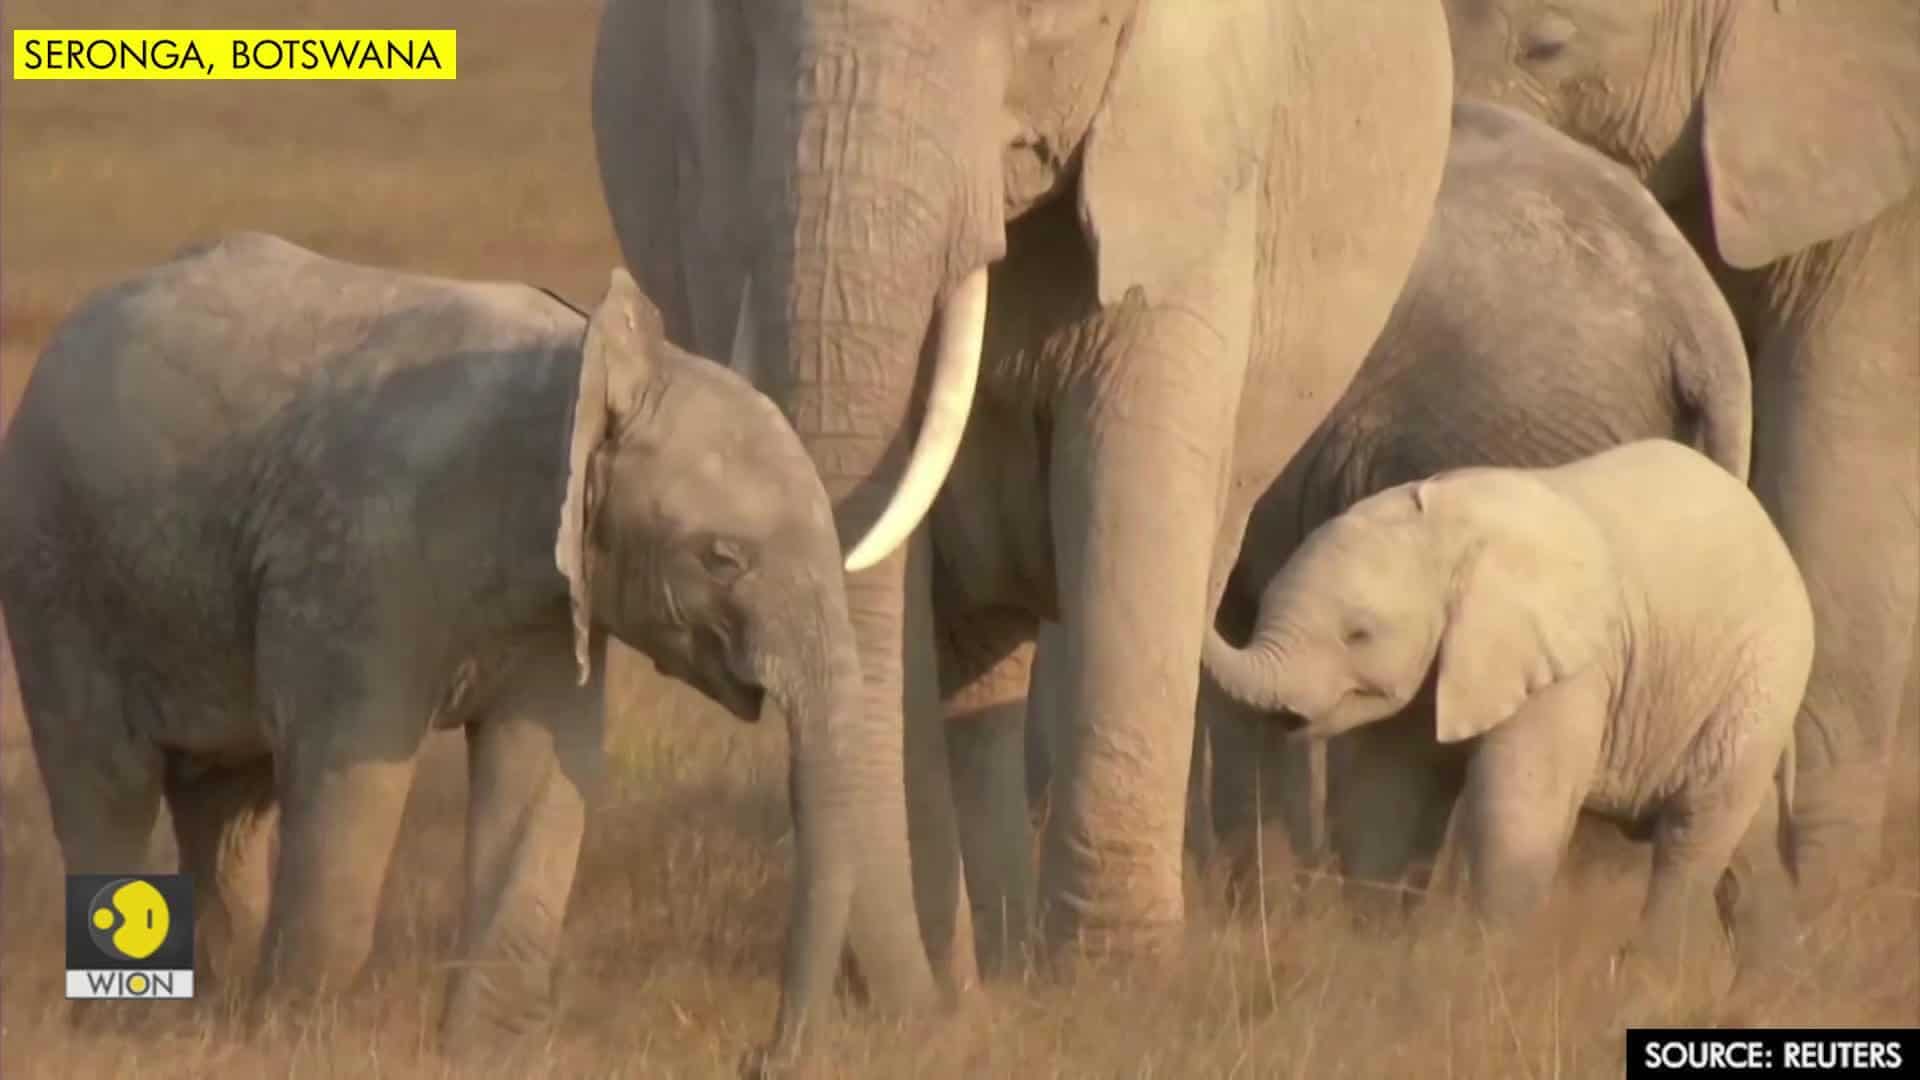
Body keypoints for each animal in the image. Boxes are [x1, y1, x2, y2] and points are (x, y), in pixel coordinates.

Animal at [0, 233, 889, 1052]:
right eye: (723, 558)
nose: (761, 1055)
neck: (583, 371)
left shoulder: (555, 595)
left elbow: (541, 773)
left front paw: (484, 1052)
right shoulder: (363, 561)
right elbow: (350, 776)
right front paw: (296, 1045)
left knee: (226, 810)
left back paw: (203, 1025)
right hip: (53, 568)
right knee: (109, 788)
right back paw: (125, 1029)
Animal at [591, 2, 1455, 1040]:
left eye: (1031, 16)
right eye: (740, 20)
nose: (907, 1012)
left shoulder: (1197, 153)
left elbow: (1135, 498)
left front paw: (1117, 992)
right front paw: (946, 990)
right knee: (973, 651)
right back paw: (993, 957)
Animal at [1203, 439, 1811, 992]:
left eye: (1359, 634)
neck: (1443, 532)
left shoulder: (1569, 669)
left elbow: (1518, 813)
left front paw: (1481, 981)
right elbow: (1386, 799)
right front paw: (1370, 956)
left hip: (1762, 674)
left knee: (1693, 833)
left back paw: (1644, 984)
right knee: (1742, 850)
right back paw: (1764, 988)